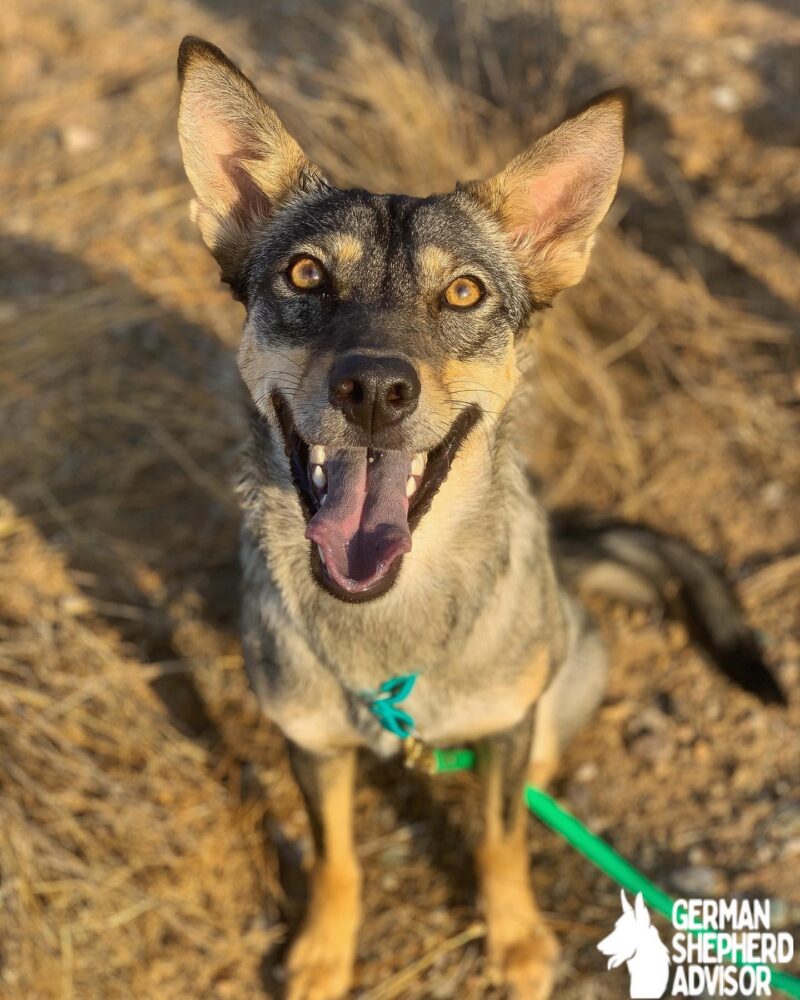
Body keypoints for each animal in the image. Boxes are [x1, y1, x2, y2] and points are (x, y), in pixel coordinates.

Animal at [177, 39, 788, 1000]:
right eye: (305, 273)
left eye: (464, 293)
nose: (374, 389)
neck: (387, 629)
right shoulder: (310, 743)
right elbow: (335, 857)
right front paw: (323, 952)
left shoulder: (503, 726)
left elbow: (502, 841)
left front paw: (519, 941)